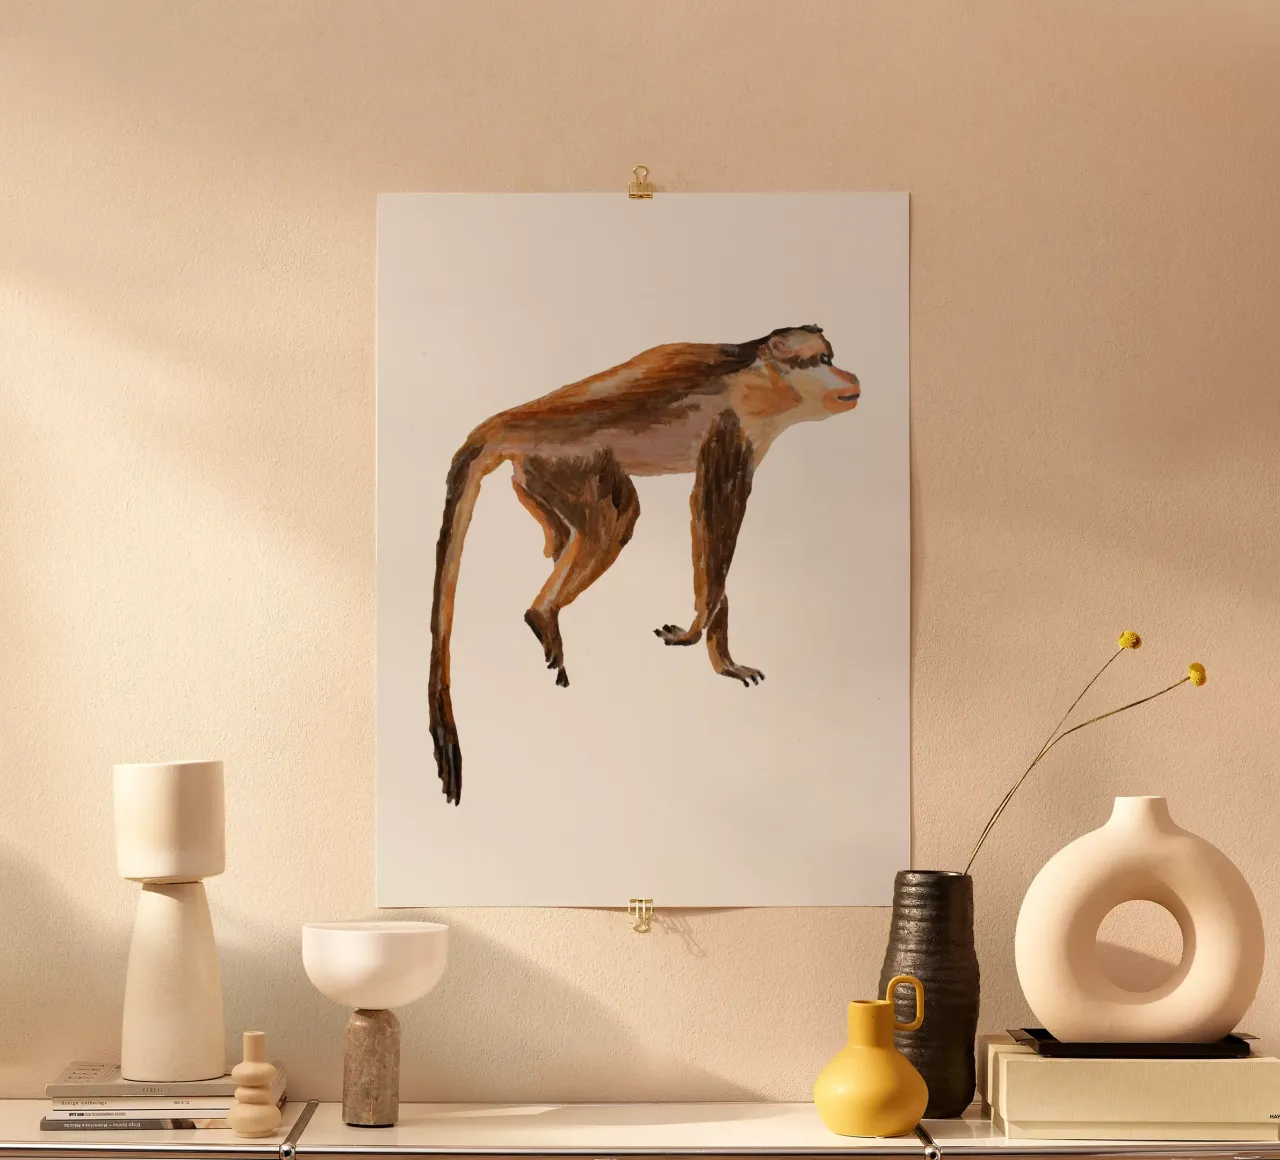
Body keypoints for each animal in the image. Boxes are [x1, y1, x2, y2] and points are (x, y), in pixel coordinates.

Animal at [429, 325, 861, 804]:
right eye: (823, 361)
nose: (849, 376)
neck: (761, 370)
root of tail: (510, 420)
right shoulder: (733, 424)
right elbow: (711, 514)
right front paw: (695, 632)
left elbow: (711, 538)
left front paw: (723, 658)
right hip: (566, 456)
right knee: (617, 517)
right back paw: (542, 612)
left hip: (536, 473)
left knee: (573, 529)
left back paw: (552, 574)